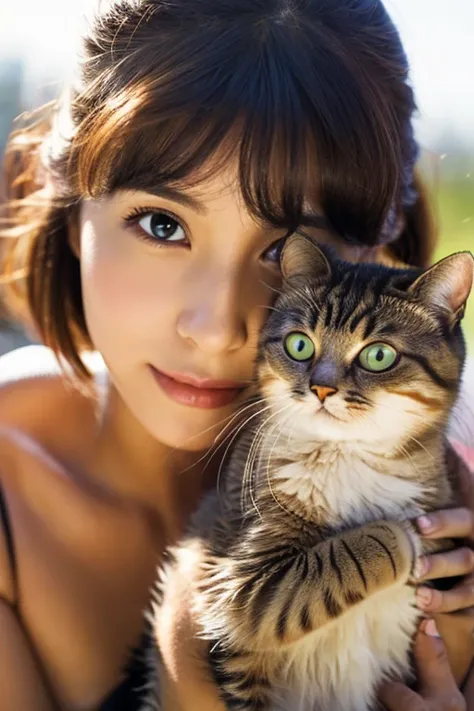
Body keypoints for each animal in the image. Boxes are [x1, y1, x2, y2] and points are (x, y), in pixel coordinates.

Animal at [145, 234, 474, 711]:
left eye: (378, 355)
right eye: (300, 345)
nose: (322, 387)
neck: (348, 457)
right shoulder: (238, 587)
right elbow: (341, 556)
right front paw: (404, 538)